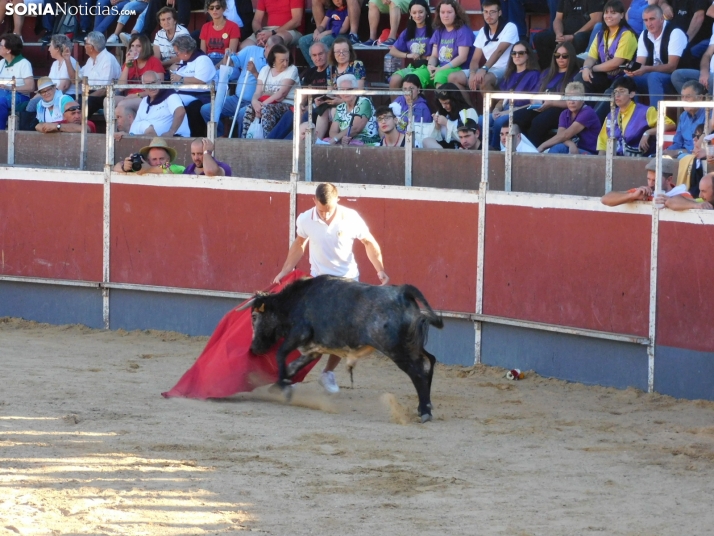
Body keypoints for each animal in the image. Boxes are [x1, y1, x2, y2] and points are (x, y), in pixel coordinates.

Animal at [242, 276, 442, 422]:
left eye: (254, 317)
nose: (253, 348)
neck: (293, 302)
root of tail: (402, 291)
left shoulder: (299, 334)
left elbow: (280, 355)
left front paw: (284, 388)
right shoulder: (312, 348)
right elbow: (292, 366)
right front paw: (278, 385)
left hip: (396, 350)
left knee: (418, 373)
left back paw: (425, 411)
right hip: (412, 346)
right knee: (428, 362)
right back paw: (425, 407)